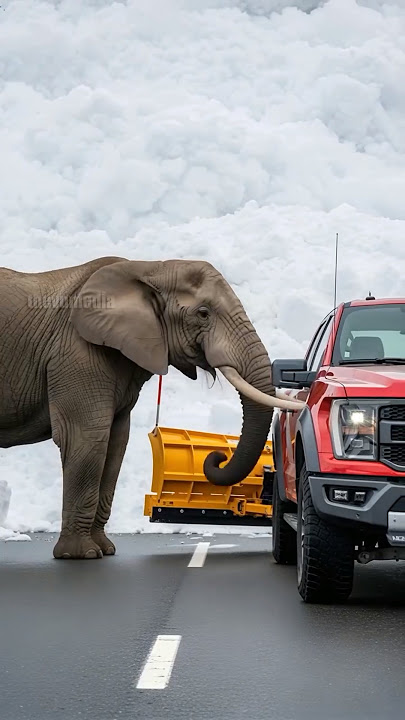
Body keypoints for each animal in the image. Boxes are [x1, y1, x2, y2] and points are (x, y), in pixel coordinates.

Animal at [0, 257, 303, 559]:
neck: (147, 267)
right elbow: (87, 439)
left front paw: (106, 549)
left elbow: (116, 444)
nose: (217, 457)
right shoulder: (76, 354)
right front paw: (82, 555)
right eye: (203, 313)